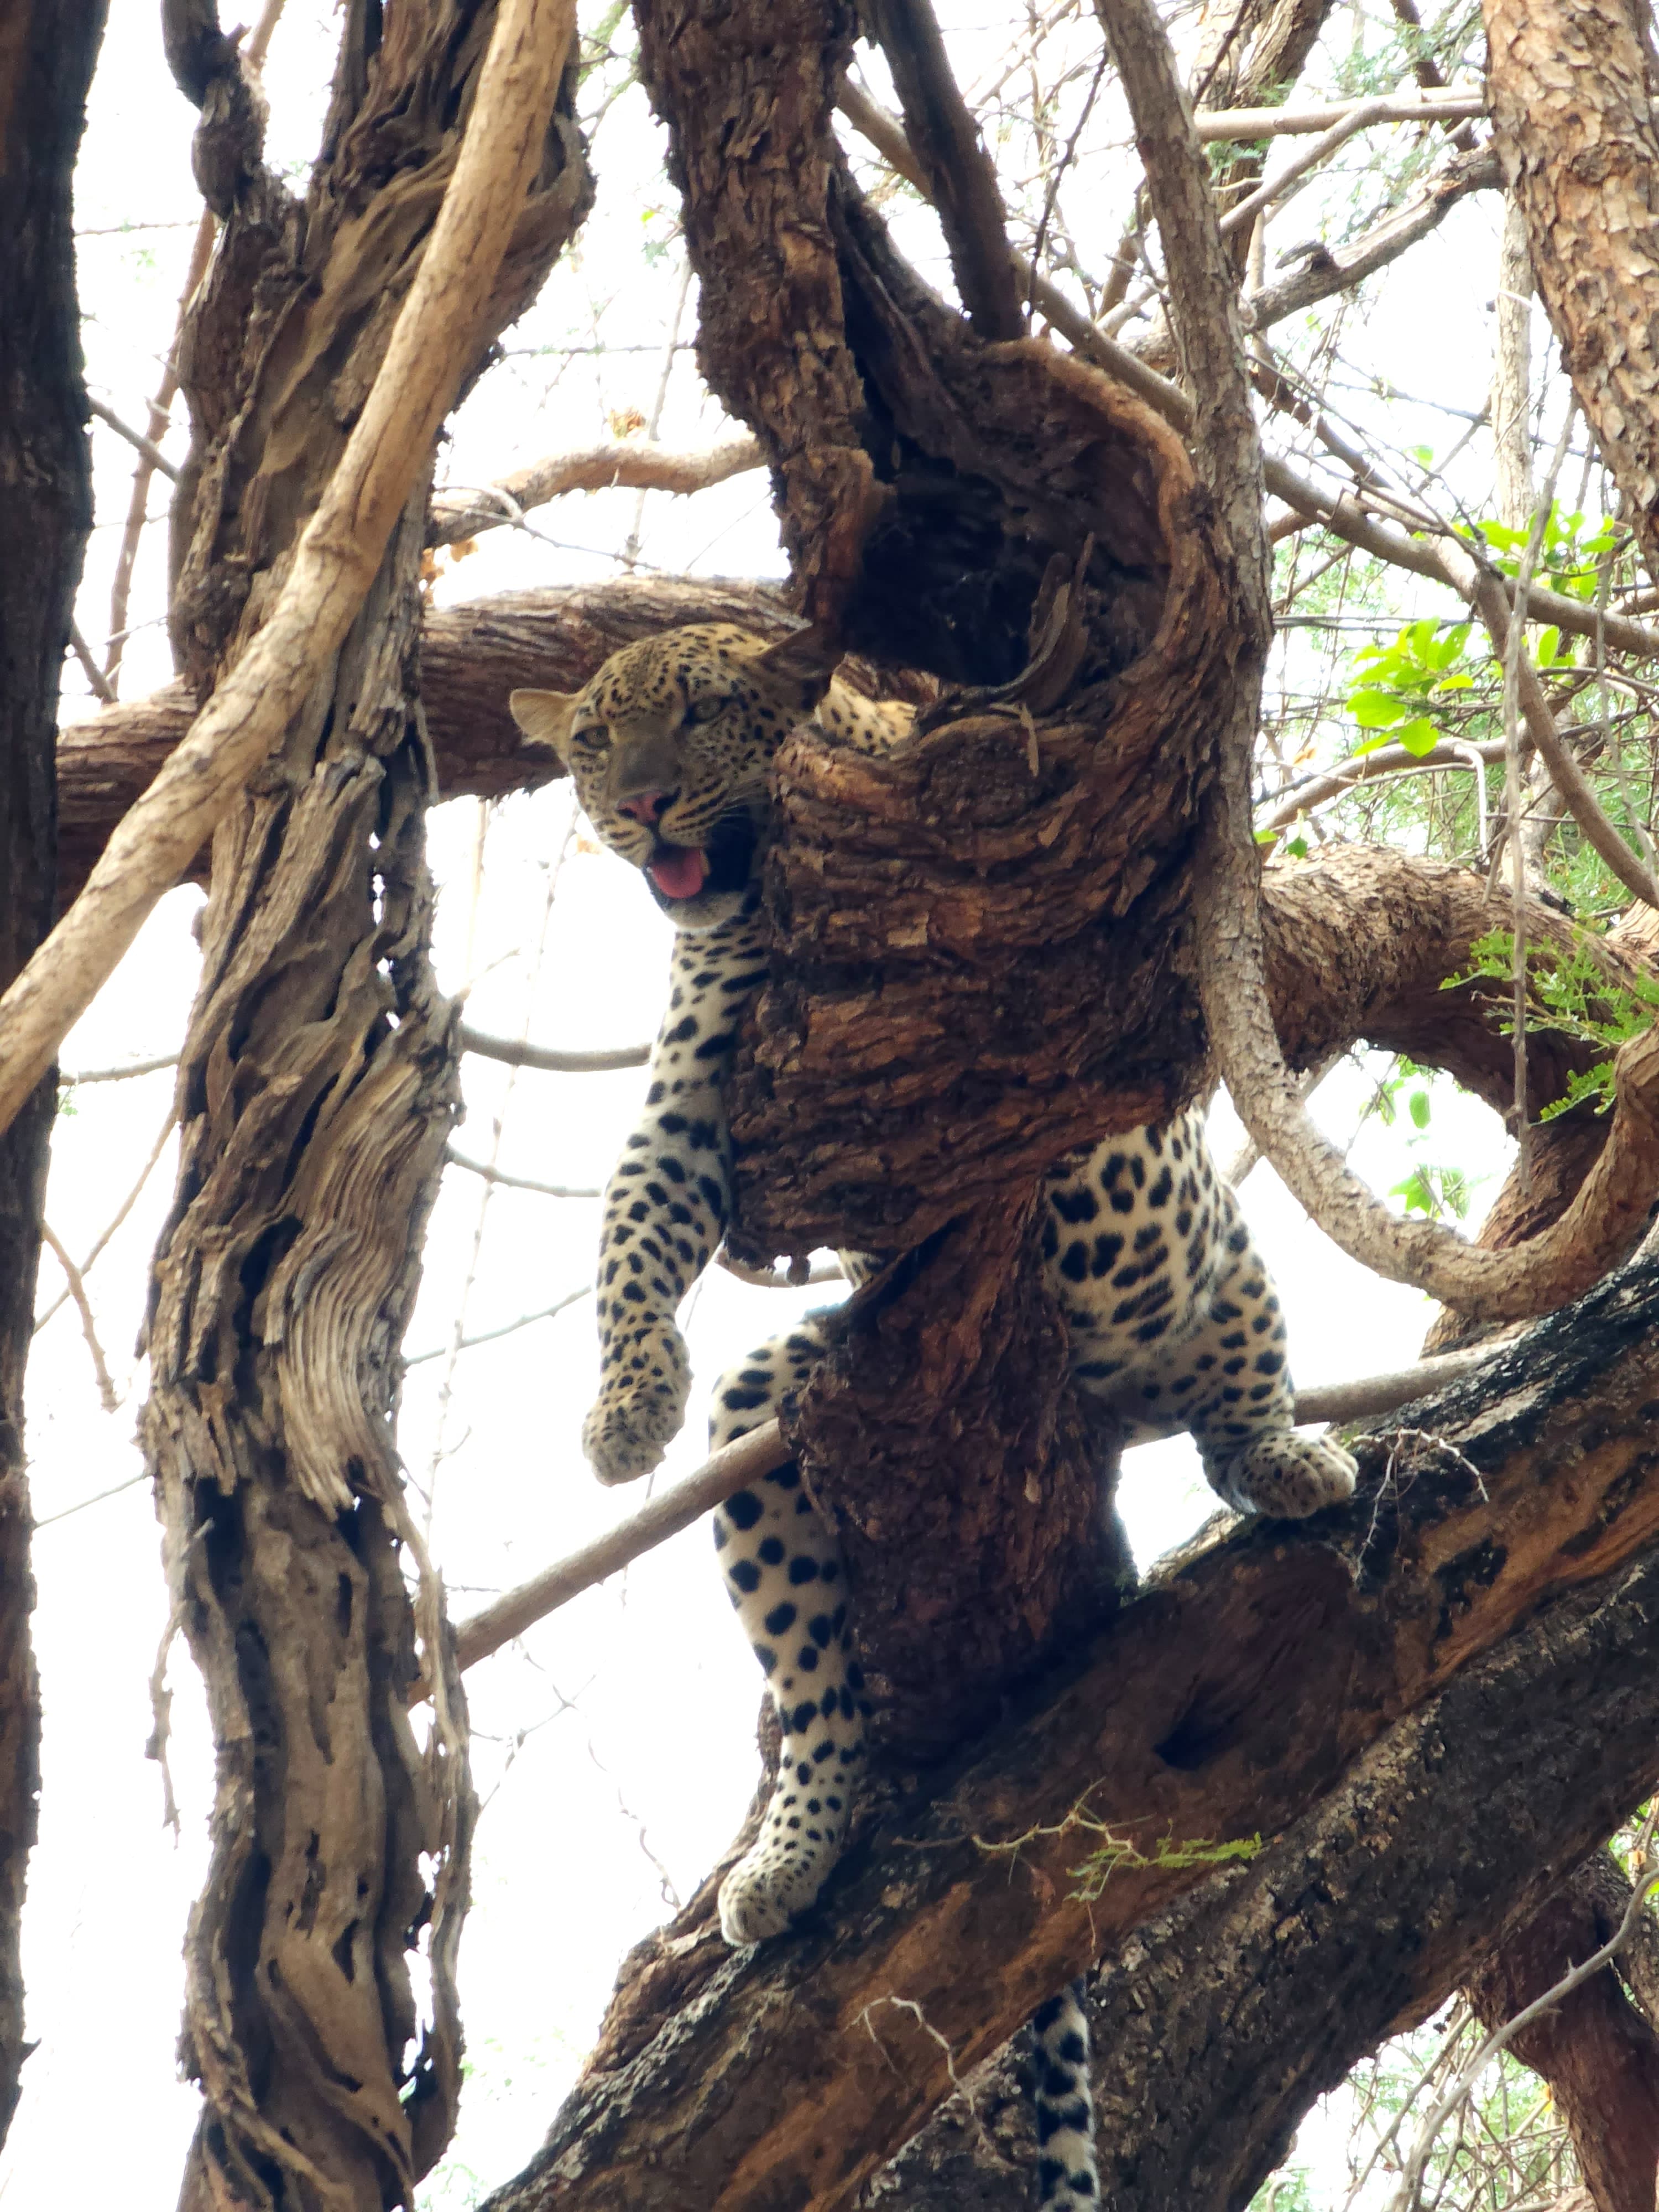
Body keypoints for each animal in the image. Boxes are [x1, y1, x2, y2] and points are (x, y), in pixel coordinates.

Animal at [509, 625, 1354, 2207]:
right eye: (591, 742)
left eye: (699, 715)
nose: (640, 807)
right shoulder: (695, 1094)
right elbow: (632, 1234)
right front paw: (622, 1410)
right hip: (777, 1422)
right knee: (820, 1690)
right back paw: (789, 1857)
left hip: (1226, 1276)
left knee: (1237, 1389)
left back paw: (1289, 1458)